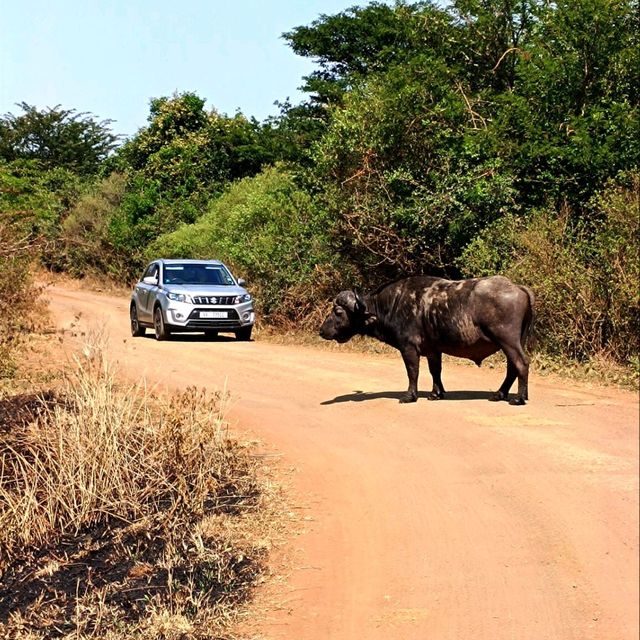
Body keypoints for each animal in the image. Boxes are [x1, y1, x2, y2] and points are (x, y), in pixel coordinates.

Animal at [320, 276, 536, 404]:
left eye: (338, 312)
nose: (322, 330)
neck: (391, 305)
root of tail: (517, 287)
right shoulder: (433, 350)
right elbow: (435, 371)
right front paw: (435, 394)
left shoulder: (408, 347)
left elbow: (412, 371)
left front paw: (409, 396)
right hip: (514, 341)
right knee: (512, 368)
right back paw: (500, 394)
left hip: (507, 340)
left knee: (521, 363)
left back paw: (518, 398)